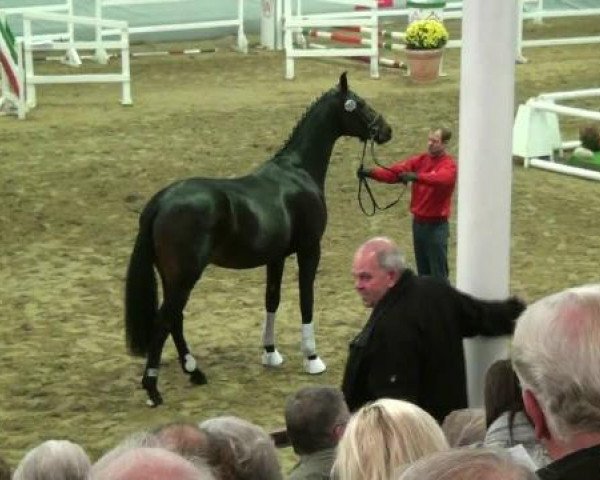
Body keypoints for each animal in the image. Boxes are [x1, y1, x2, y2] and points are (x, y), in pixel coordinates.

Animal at [124, 72, 392, 404]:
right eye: (360, 104)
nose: (386, 130)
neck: (297, 171)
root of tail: (162, 200)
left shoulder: (276, 257)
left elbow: (271, 299)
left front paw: (270, 353)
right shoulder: (309, 250)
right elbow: (306, 299)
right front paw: (312, 358)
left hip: (172, 276)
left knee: (175, 319)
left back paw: (195, 372)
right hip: (185, 276)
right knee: (165, 320)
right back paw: (153, 389)